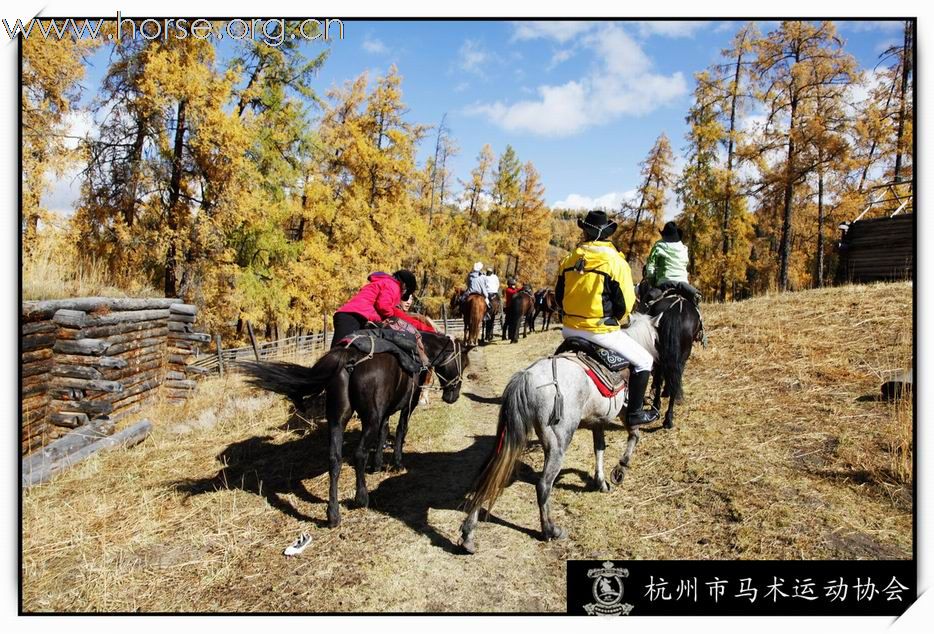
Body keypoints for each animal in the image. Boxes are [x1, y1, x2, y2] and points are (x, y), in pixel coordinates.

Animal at [241, 334, 468, 524]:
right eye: (463, 363)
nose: (453, 396)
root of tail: (348, 358)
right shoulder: (408, 405)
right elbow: (401, 430)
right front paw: (396, 463)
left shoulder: (384, 410)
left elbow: (383, 432)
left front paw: (377, 464)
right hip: (369, 419)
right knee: (359, 454)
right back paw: (361, 497)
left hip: (337, 418)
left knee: (334, 459)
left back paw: (333, 515)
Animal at [458, 314, 660, 552]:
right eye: (657, 339)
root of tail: (526, 377)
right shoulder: (625, 412)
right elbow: (634, 435)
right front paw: (620, 470)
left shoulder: (598, 422)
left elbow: (599, 449)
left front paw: (601, 481)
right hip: (558, 444)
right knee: (544, 485)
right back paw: (550, 530)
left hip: (508, 440)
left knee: (489, 475)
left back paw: (468, 533)